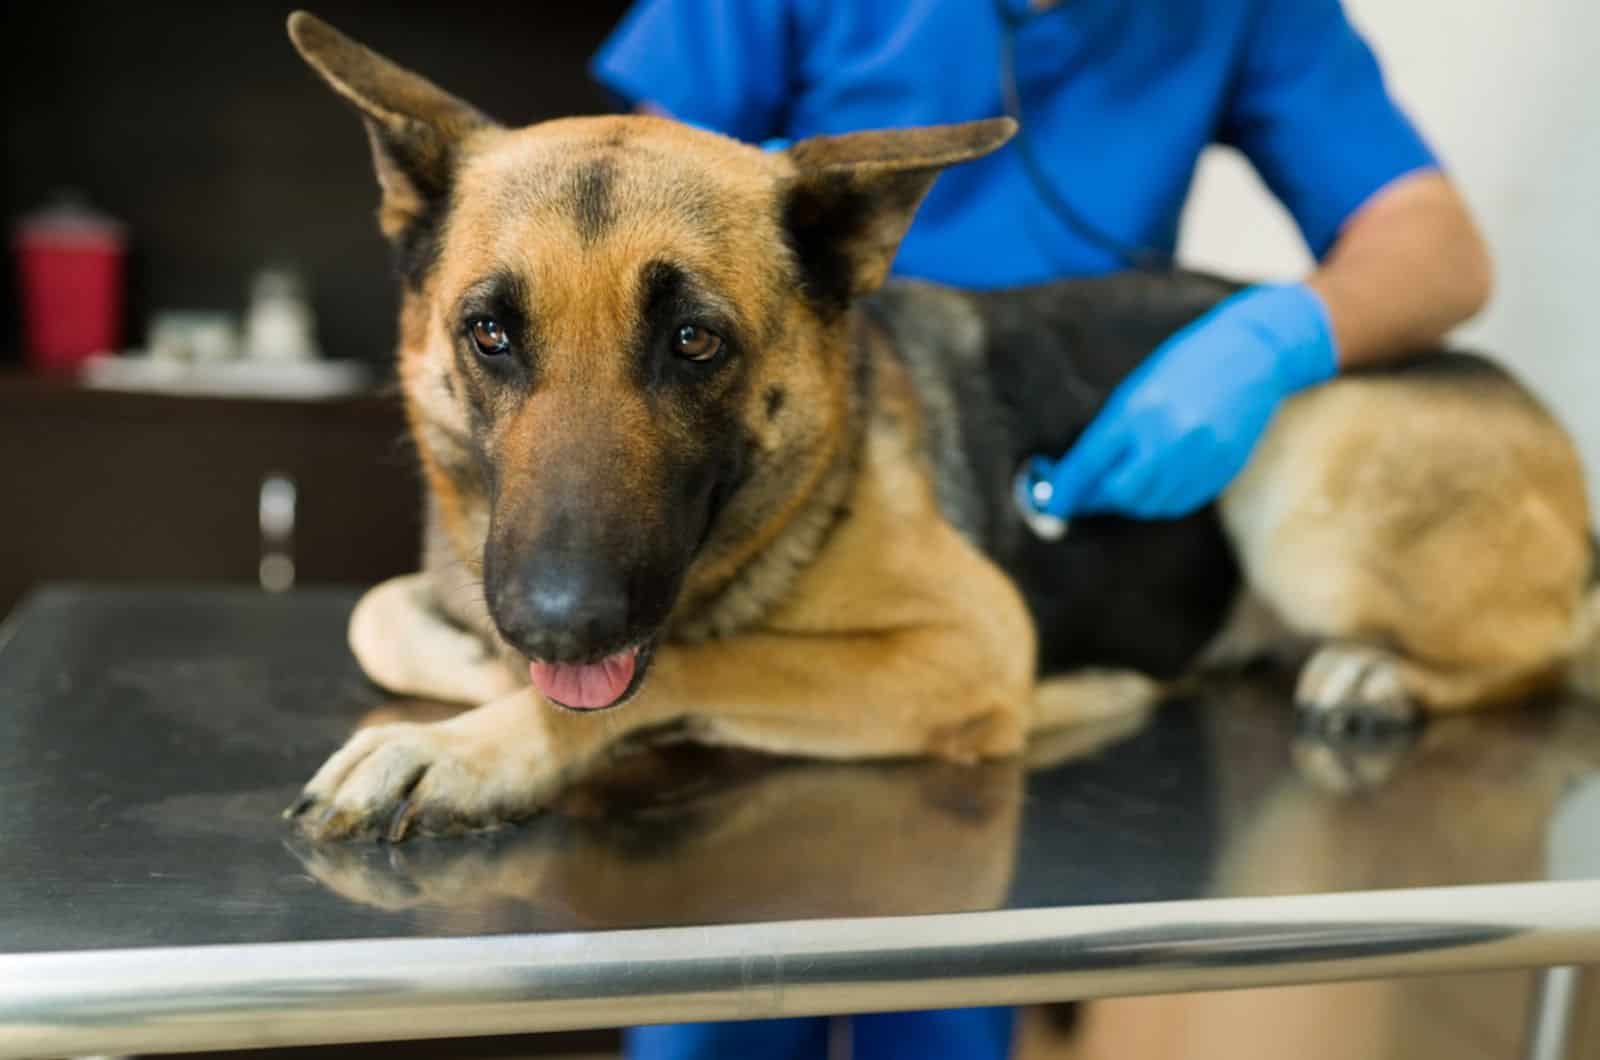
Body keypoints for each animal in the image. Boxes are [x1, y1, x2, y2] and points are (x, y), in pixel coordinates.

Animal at [278, 12, 1600, 845]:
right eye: (489, 333)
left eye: (695, 341)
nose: (560, 622)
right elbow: (377, 613)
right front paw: (473, 676)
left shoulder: (967, 639)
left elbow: (693, 667)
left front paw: (471, 744)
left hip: (1299, 473)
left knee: (1542, 645)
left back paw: (1373, 670)